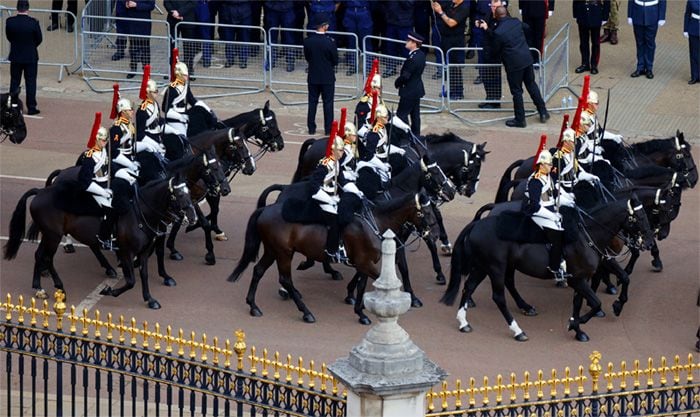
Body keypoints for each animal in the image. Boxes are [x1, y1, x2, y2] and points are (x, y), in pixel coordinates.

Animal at [4, 161, 198, 308]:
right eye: (179, 194)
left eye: (188, 191)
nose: (193, 217)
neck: (139, 213)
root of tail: (40, 191)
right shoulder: (126, 251)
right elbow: (131, 281)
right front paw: (109, 290)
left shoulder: (143, 251)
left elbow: (144, 275)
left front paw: (149, 299)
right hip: (53, 236)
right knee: (48, 258)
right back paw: (60, 288)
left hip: (49, 234)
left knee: (40, 255)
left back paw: (38, 287)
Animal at [440, 195, 652, 342]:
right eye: (639, 217)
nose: (649, 242)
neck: (587, 235)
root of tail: (478, 223)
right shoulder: (577, 279)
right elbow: (596, 303)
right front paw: (577, 323)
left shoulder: (583, 277)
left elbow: (582, 301)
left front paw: (578, 329)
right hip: (496, 268)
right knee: (499, 297)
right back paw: (518, 331)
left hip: (483, 267)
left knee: (469, 287)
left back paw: (464, 322)